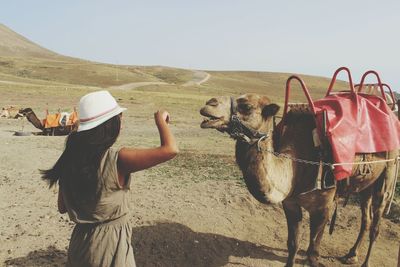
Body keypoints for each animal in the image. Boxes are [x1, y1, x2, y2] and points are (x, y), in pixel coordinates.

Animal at [202, 94, 398, 267]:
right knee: (366, 219)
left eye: (247, 106)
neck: (297, 164)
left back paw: (365, 262)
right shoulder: (290, 204)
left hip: (387, 176)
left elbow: (313, 253)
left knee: (376, 223)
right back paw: (351, 255)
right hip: (366, 186)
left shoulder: (324, 207)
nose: (209, 104)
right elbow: (293, 244)